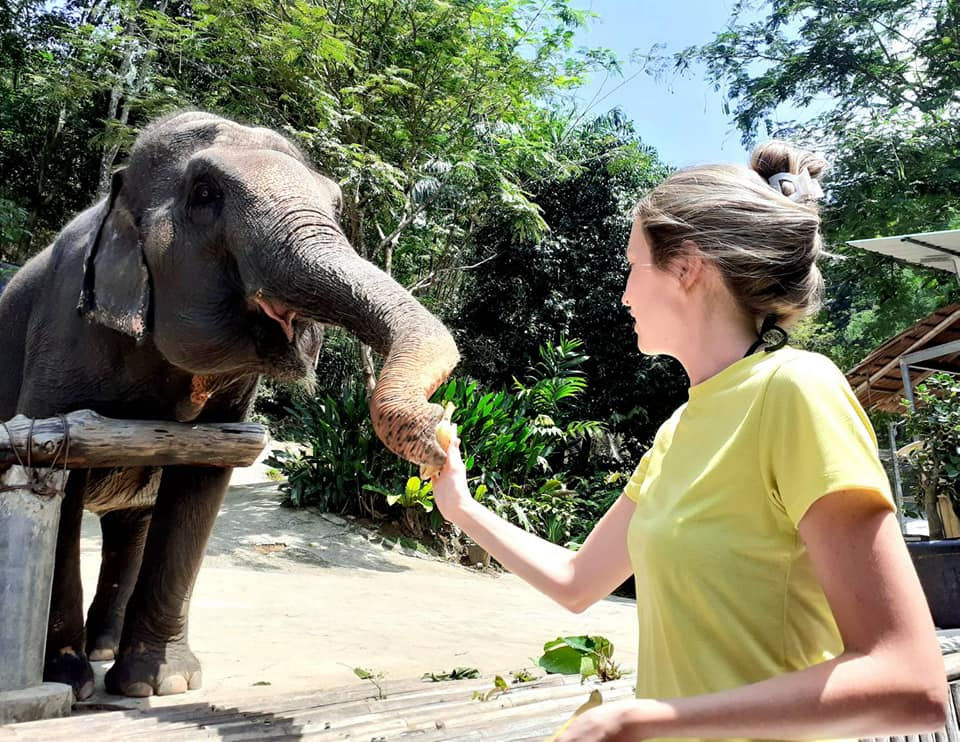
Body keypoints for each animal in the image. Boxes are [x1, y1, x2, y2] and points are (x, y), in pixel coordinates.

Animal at [0, 111, 459, 699]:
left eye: (336, 205)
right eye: (203, 193)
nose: (439, 432)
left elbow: (202, 481)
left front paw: (163, 684)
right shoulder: (61, 336)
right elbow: (57, 483)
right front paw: (67, 681)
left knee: (131, 524)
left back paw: (107, 653)